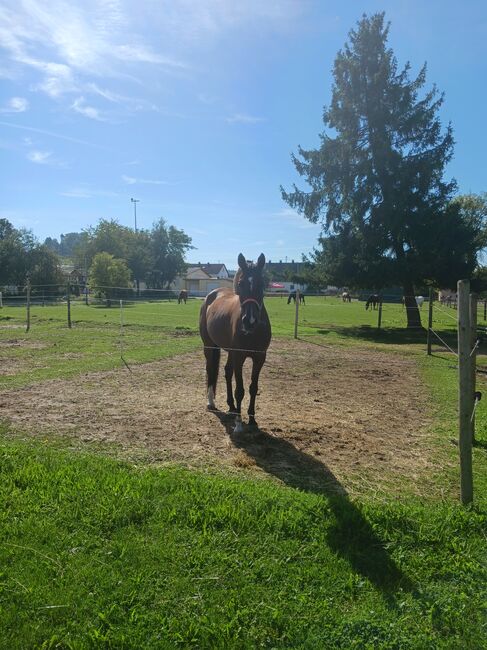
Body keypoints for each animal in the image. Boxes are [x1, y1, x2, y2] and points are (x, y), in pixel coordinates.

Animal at [200, 252, 272, 430]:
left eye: (261, 284)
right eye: (241, 283)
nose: (250, 321)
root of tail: (212, 295)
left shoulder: (259, 357)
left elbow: (253, 388)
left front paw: (252, 419)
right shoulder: (239, 356)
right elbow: (240, 390)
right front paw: (239, 423)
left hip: (230, 351)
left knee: (227, 372)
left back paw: (232, 406)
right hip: (209, 346)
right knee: (210, 369)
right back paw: (211, 402)